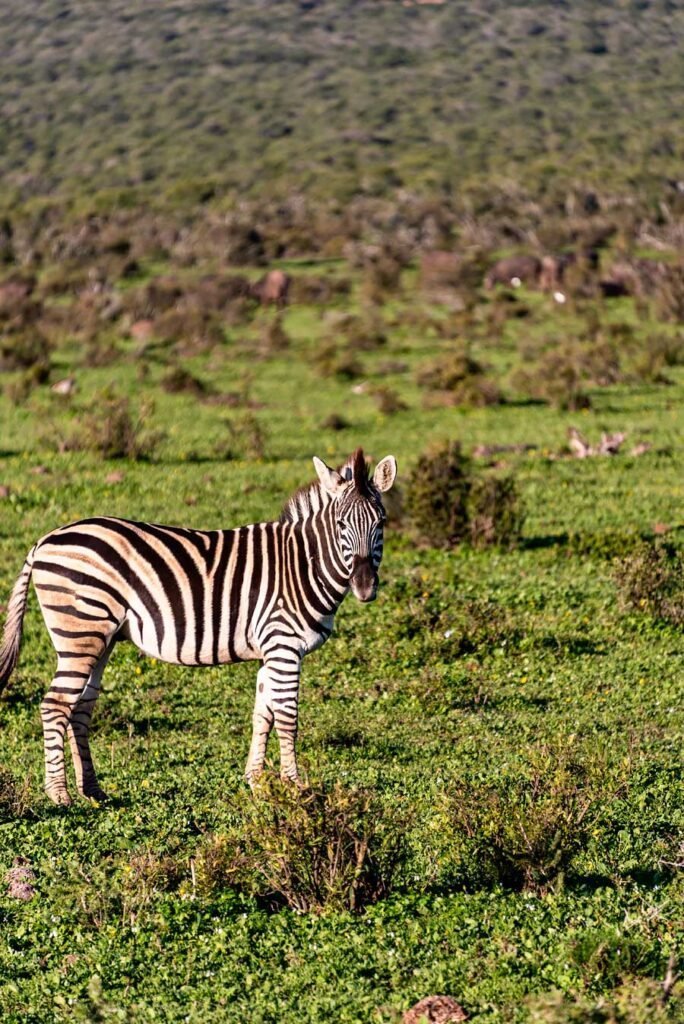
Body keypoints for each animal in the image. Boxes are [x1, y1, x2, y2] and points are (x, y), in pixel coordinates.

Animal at [0, 448, 397, 805]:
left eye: (381, 523)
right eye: (341, 524)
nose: (364, 587)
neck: (303, 565)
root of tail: (45, 539)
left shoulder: (270, 651)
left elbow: (262, 714)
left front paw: (256, 782)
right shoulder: (284, 644)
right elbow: (287, 716)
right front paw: (296, 787)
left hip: (101, 637)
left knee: (80, 709)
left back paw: (93, 790)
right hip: (80, 630)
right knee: (55, 705)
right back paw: (59, 795)